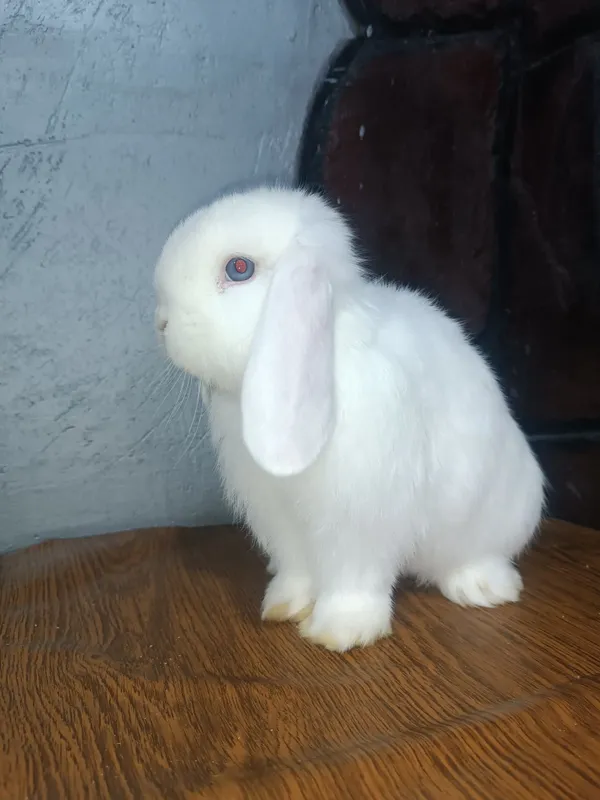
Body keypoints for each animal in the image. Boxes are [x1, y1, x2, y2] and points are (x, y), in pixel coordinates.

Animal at [154, 185, 545, 652]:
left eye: (238, 268)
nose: (161, 322)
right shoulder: (281, 519)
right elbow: (297, 569)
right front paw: (284, 606)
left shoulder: (359, 517)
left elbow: (353, 578)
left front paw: (338, 632)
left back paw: (481, 588)